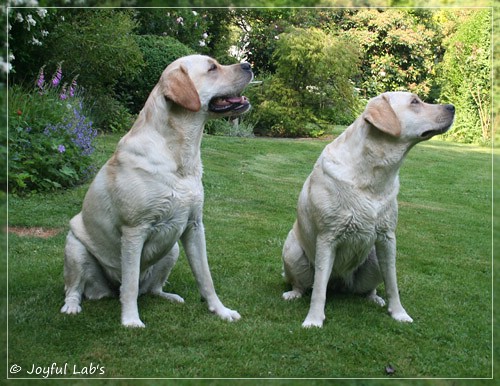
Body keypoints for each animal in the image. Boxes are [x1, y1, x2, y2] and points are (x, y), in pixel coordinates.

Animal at [62, 53, 254, 326]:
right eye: (212, 68)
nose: (248, 65)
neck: (180, 156)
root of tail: (108, 289)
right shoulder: (134, 230)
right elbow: (130, 284)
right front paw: (131, 321)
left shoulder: (194, 226)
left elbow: (205, 277)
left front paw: (220, 310)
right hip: (74, 247)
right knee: (76, 288)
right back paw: (71, 307)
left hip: (172, 249)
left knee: (151, 288)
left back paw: (168, 296)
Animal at [284, 92, 456, 328]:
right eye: (414, 102)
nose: (452, 107)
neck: (372, 175)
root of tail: (338, 283)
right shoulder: (327, 237)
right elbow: (319, 288)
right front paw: (314, 320)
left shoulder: (387, 238)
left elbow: (392, 282)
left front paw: (399, 313)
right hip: (291, 250)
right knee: (303, 284)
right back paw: (293, 293)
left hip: (374, 257)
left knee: (368, 288)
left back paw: (374, 298)